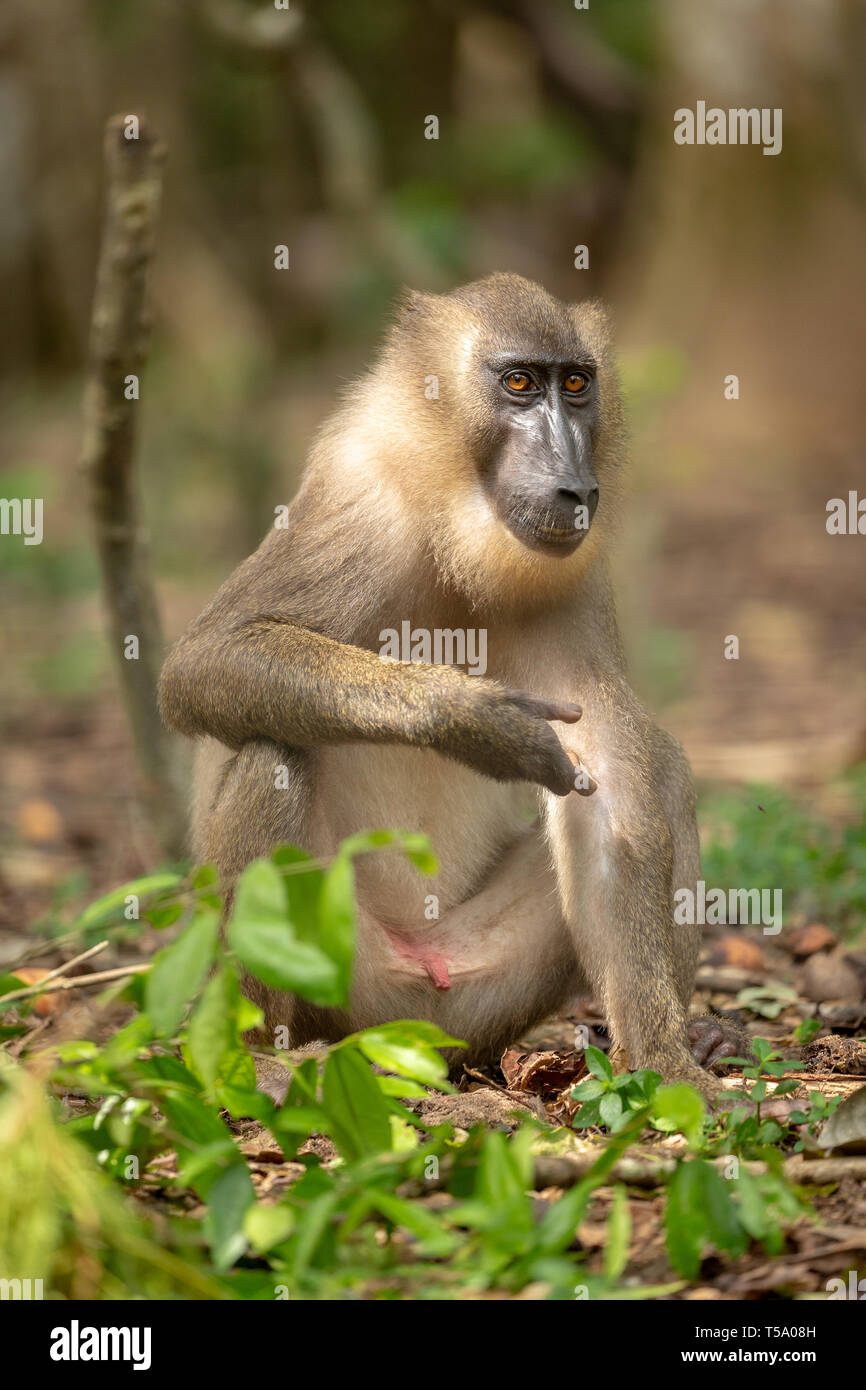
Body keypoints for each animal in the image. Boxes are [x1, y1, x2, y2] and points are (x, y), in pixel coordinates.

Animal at [159, 273, 742, 1099]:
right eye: (520, 384)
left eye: (576, 384)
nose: (573, 486)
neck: (453, 521)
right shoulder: (360, 505)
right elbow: (203, 663)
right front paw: (471, 719)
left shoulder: (573, 575)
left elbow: (613, 784)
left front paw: (665, 1061)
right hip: (349, 978)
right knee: (273, 752)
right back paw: (259, 1057)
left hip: (478, 990)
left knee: (667, 769)